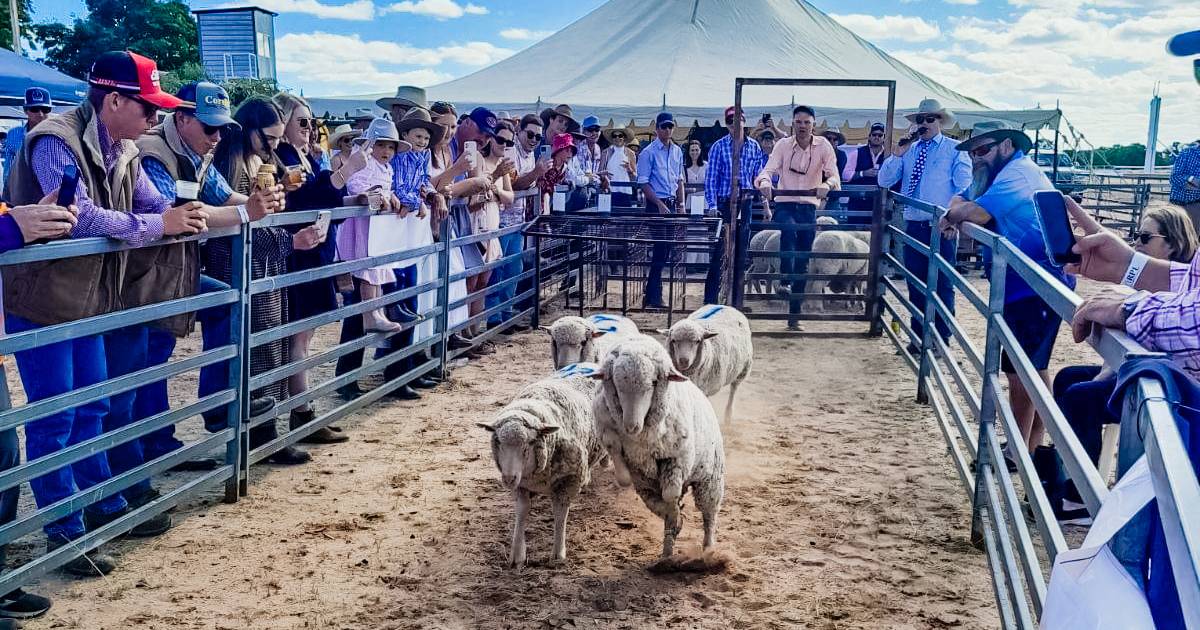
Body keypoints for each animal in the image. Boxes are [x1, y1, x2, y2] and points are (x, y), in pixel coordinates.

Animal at [477, 362, 609, 564]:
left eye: (529, 444)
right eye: (498, 441)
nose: (508, 478)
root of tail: (587, 363)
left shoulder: (568, 480)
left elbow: (560, 514)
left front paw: (558, 553)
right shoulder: (522, 484)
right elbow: (522, 511)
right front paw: (517, 554)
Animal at [588, 336, 724, 556]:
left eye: (653, 382)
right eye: (616, 384)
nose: (631, 426)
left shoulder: (677, 458)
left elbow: (670, 494)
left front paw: (675, 514)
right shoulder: (608, 432)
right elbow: (623, 473)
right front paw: (675, 519)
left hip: (710, 479)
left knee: (709, 514)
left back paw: (708, 547)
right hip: (647, 485)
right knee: (657, 501)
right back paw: (668, 548)